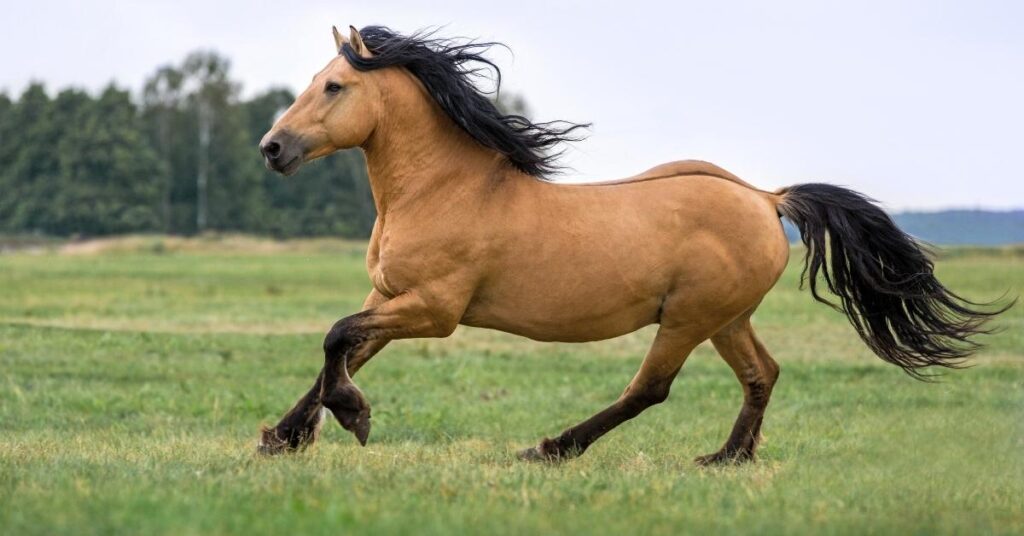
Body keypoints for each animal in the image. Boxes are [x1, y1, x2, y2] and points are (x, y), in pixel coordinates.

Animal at [256, 25, 1008, 464]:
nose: (272, 149)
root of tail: (766, 199)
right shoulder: (390, 295)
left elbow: (336, 337)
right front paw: (283, 436)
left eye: (334, 85)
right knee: (761, 374)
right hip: (727, 318)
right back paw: (728, 458)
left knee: (650, 389)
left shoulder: (434, 310)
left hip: (688, 318)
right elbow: (344, 349)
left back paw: (552, 448)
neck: (444, 188)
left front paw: (351, 418)